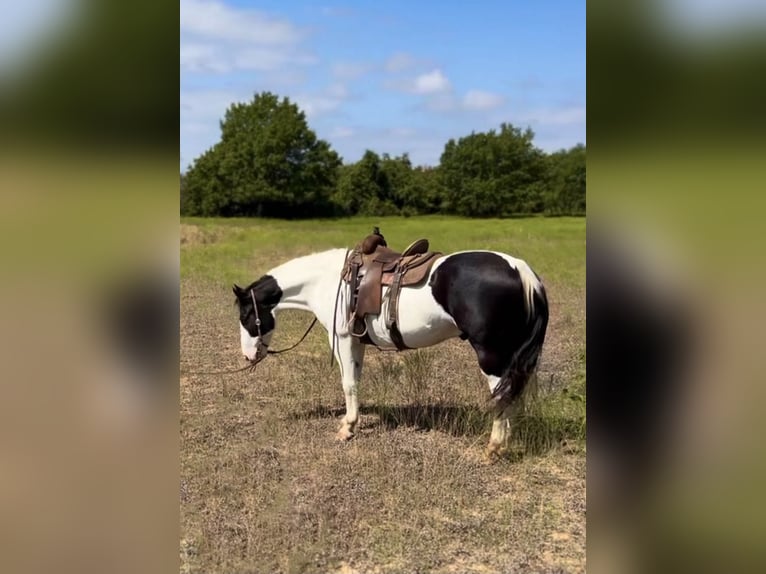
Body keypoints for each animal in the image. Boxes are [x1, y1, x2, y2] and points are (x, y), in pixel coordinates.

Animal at [231, 243, 548, 460]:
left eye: (246, 315)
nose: (249, 357)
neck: (326, 281)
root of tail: (522, 271)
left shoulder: (343, 339)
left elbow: (348, 384)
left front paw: (347, 429)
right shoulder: (357, 341)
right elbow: (356, 382)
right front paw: (351, 423)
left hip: (492, 356)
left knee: (503, 398)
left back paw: (494, 448)